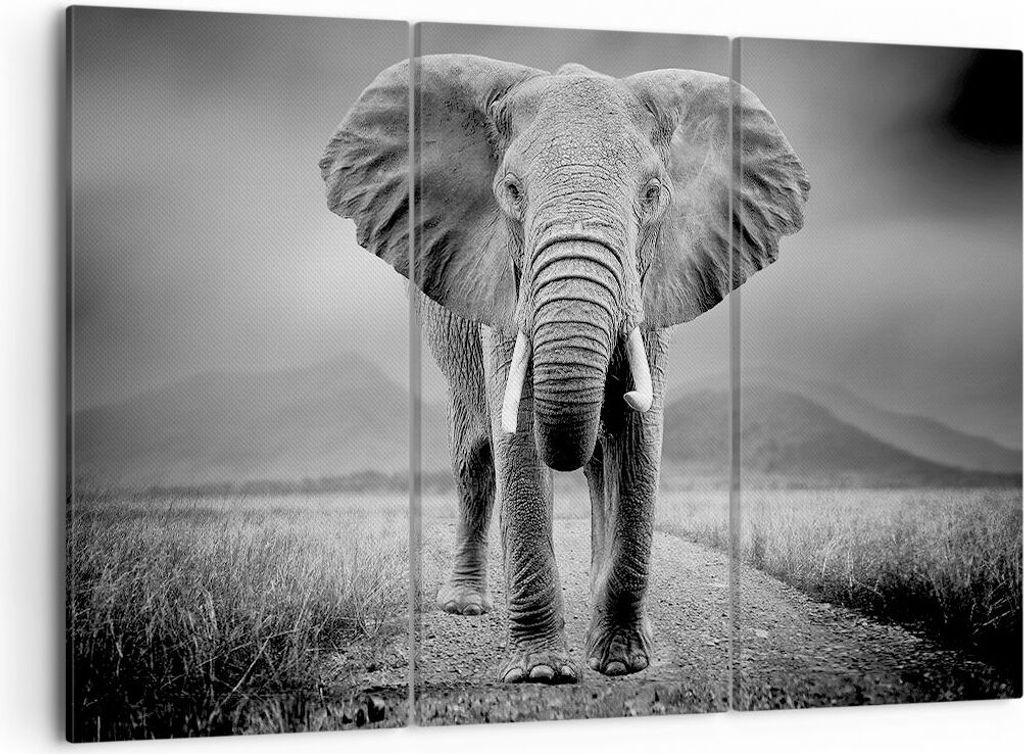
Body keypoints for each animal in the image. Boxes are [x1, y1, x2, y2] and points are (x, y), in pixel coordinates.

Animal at [320, 55, 808, 684]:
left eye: (653, 193)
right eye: (510, 191)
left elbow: (638, 440)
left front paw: (622, 660)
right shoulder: (503, 287)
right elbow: (521, 438)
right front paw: (540, 673)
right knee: (475, 456)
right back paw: (466, 604)